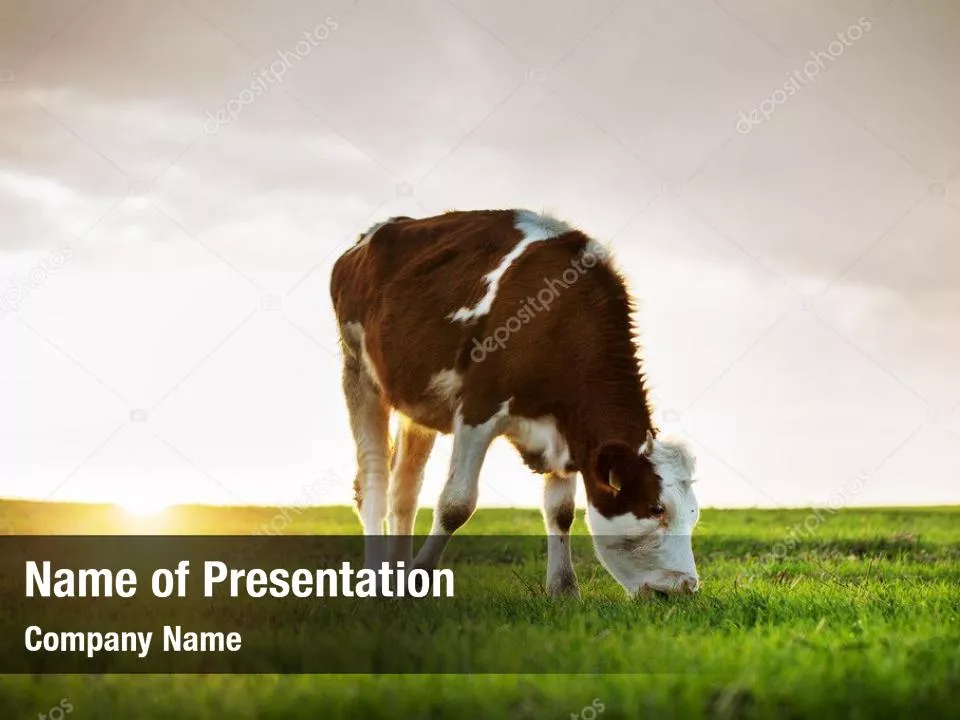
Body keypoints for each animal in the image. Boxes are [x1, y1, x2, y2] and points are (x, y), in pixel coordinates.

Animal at [330, 209, 700, 598]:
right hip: (358, 372)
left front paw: (563, 589)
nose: (686, 586)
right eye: (656, 508)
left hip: (417, 405)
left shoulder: (567, 430)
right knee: (374, 481)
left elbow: (561, 511)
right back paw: (375, 574)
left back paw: (396, 580)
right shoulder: (478, 407)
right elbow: (455, 504)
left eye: (694, 513)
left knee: (405, 489)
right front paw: (421, 574)